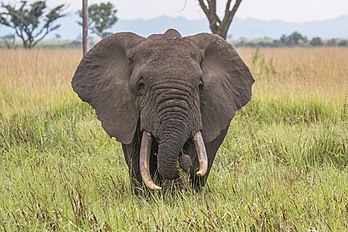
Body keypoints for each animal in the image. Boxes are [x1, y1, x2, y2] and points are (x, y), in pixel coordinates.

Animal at [72, 28, 254, 192]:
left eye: (200, 85)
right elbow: (135, 153)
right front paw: (146, 197)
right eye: (141, 85)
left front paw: (176, 195)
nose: (183, 161)